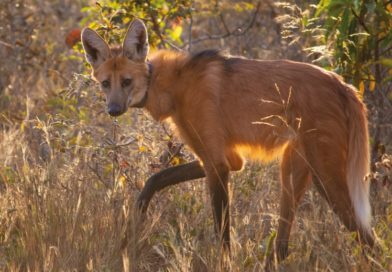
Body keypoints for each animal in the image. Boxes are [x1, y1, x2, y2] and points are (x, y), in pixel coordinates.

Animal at [80, 18, 374, 262]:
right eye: (106, 83)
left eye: (127, 81)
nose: (113, 110)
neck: (172, 85)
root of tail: (344, 85)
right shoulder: (222, 159)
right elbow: (155, 179)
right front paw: (133, 221)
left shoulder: (218, 165)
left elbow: (222, 235)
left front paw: (224, 264)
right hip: (294, 172)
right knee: (283, 245)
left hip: (326, 175)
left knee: (368, 238)